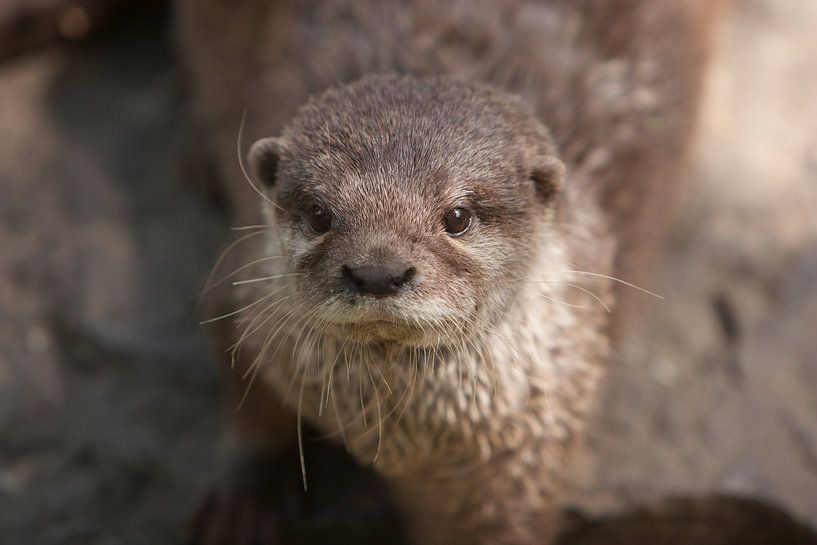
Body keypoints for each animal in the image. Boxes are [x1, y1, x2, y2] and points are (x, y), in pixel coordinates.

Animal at [177, 2, 722, 544]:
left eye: (457, 216)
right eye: (318, 214)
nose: (378, 271)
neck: (401, 434)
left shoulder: (533, 441)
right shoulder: (240, 294)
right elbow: (246, 401)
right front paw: (248, 496)